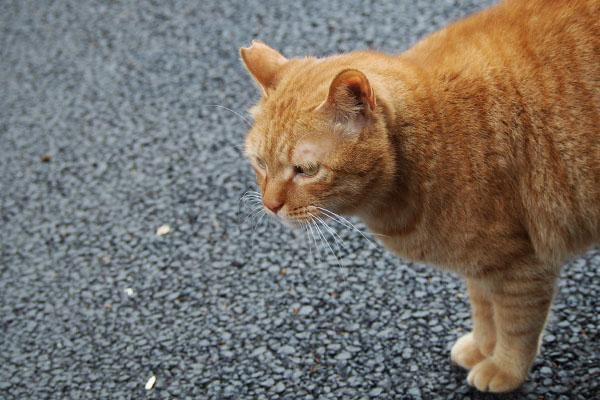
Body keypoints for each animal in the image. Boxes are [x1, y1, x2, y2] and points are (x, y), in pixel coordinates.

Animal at [239, 0, 600, 394]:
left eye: (306, 170)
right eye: (260, 162)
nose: (270, 205)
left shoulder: (522, 265)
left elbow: (515, 325)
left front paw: (504, 368)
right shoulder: (484, 264)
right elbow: (484, 310)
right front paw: (482, 347)